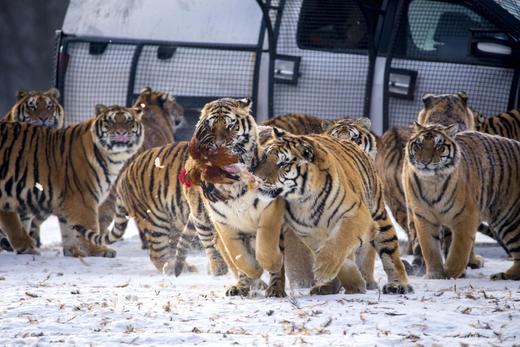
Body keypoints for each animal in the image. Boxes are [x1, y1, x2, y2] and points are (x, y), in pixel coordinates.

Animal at [0, 104, 143, 256]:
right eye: (110, 121)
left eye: (128, 121)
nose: (120, 132)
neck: (114, 158)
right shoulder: (83, 198)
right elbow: (90, 226)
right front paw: (98, 250)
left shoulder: (67, 200)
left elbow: (69, 231)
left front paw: (74, 253)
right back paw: (26, 246)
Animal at [254, 129, 412, 294]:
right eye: (264, 157)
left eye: (283, 163)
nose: (256, 178)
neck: (303, 200)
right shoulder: (309, 232)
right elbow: (338, 257)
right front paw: (353, 283)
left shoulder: (357, 215)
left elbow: (339, 242)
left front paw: (324, 270)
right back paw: (325, 287)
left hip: (379, 215)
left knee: (390, 254)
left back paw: (398, 284)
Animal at [404, 123, 520, 282]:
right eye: (419, 145)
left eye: (439, 146)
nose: (425, 162)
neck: (431, 182)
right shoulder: (424, 218)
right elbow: (430, 249)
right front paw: (434, 274)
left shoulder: (466, 216)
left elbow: (459, 250)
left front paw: (450, 273)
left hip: (509, 219)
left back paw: (502, 275)